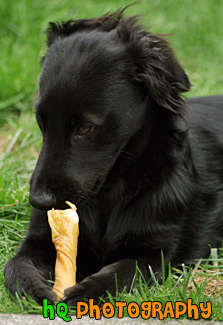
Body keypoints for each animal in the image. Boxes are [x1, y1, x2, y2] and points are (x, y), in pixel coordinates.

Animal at [3, 8, 223, 306]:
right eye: (41, 122)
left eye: (85, 128)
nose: (38, 201)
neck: (107, 195)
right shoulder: (38, 239)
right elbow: (15, 266)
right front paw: (34, 288)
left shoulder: (153, 253)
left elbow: (118, 273)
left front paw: (82, 293)